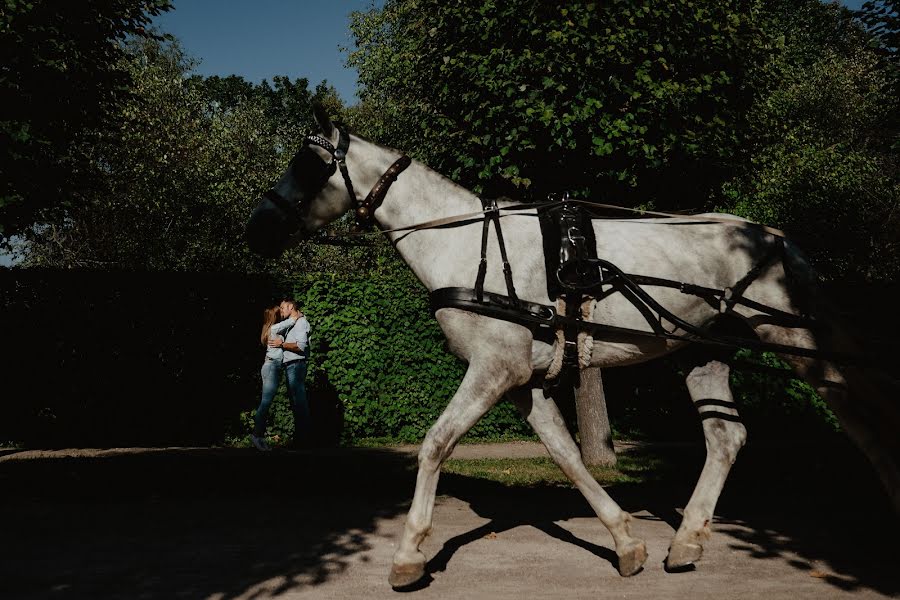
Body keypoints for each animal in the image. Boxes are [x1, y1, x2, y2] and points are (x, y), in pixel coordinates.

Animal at [246, 110, 900, 588]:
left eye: (308, 166)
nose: (256, 230)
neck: (467, 245)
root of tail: (774, 237)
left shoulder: (494, 369)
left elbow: (436, 443)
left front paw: (409, 554)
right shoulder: (524, 381)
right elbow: (567, 455)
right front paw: (626, 540)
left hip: (794, 338)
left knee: (859, 413)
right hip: (702, 351)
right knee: (726, 437)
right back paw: (686, 540)